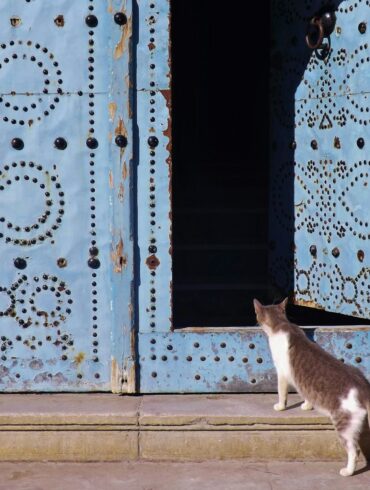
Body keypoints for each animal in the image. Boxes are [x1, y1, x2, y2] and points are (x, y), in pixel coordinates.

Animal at [253, 296, 370, 476]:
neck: (282, 323)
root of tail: (363, 388)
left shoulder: (282, 372)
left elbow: (282, 391)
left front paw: (280, 406)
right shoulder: (303, 383)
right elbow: (306, 393)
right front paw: (307, 405)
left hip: (344, 424)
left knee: (353, 450)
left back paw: (348, 471)